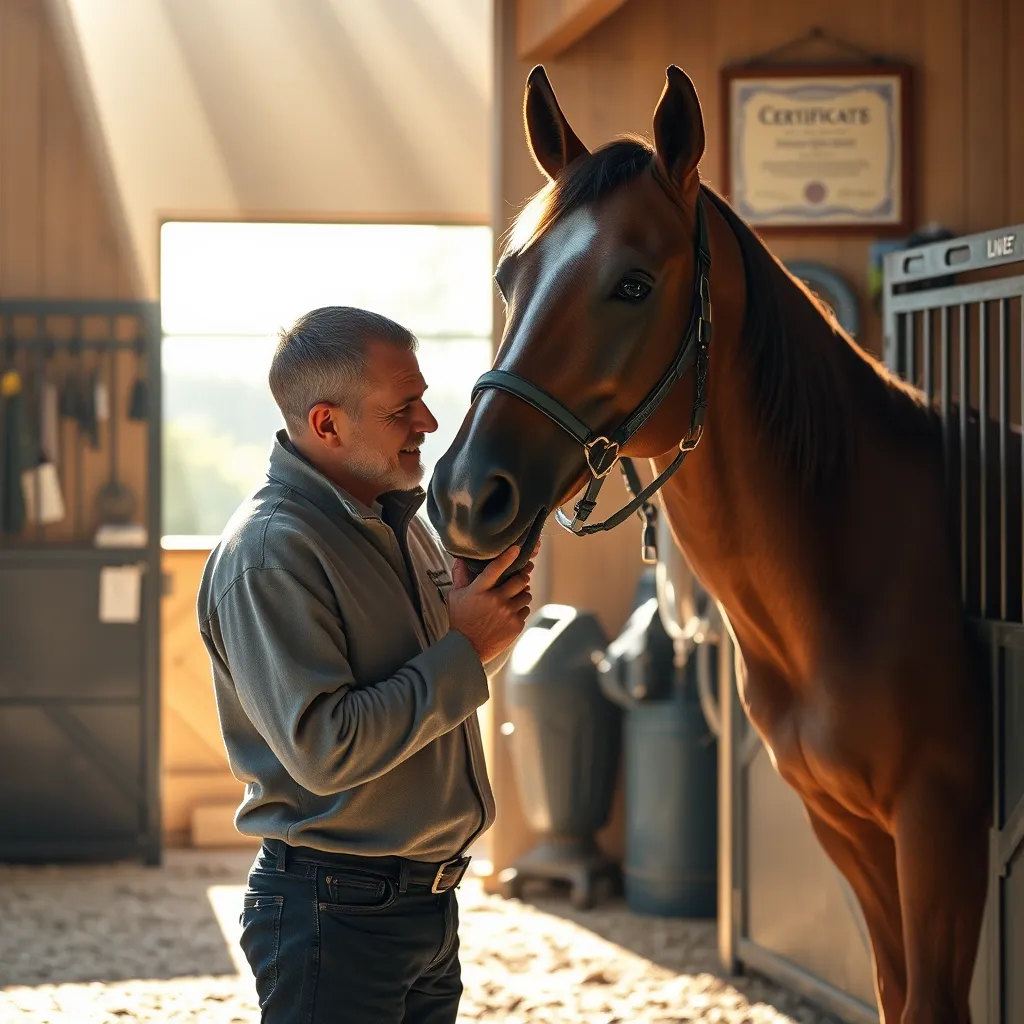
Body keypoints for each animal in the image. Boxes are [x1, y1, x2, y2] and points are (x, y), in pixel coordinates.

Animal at [426, 64, 992, 1024]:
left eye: (633, 284)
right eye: (510, 276)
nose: (466, 494)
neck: (863, 571)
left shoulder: (941, 828)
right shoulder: (851, 829)